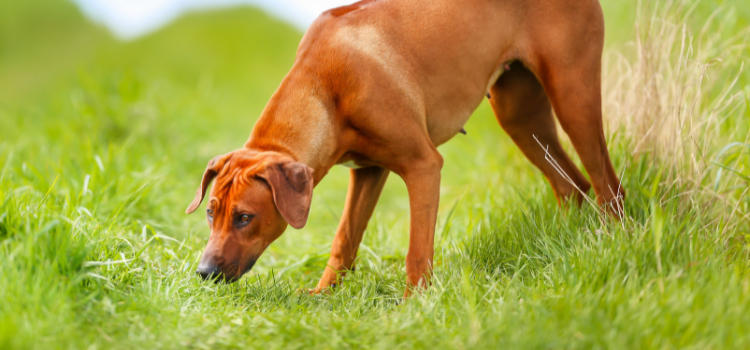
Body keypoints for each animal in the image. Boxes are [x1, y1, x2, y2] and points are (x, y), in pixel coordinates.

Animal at [187, 0, 624, 296]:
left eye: (244, 217)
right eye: (210, 212)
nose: (204, 272)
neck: (324, 84)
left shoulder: (423, 165)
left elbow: (417, 250)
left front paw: (415, 303)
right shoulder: (367, 171)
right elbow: (344, 240)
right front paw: (322, 295)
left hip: (572, 94)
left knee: (609, 186)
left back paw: (613, 243)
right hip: (519, 115)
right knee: (572, 186)